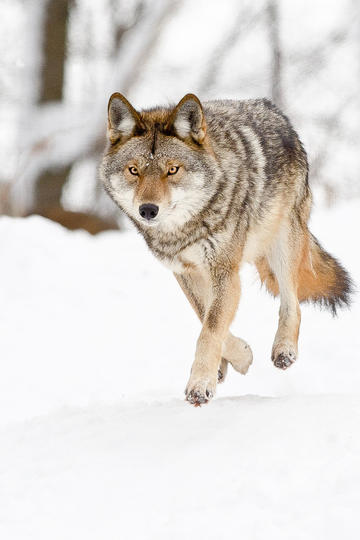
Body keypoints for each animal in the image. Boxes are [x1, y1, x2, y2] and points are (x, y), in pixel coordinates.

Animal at [100, 93, 352, 404]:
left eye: (172, 170)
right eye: (134, 170)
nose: (148, 210)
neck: (183, 230)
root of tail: (272, 108)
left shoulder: (224, 271)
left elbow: (210, 329)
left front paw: (200, 385)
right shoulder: (186, 271)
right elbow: (206, 318)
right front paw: (237, 357)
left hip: (283, 243)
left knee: (292, 302)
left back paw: (284, 350)